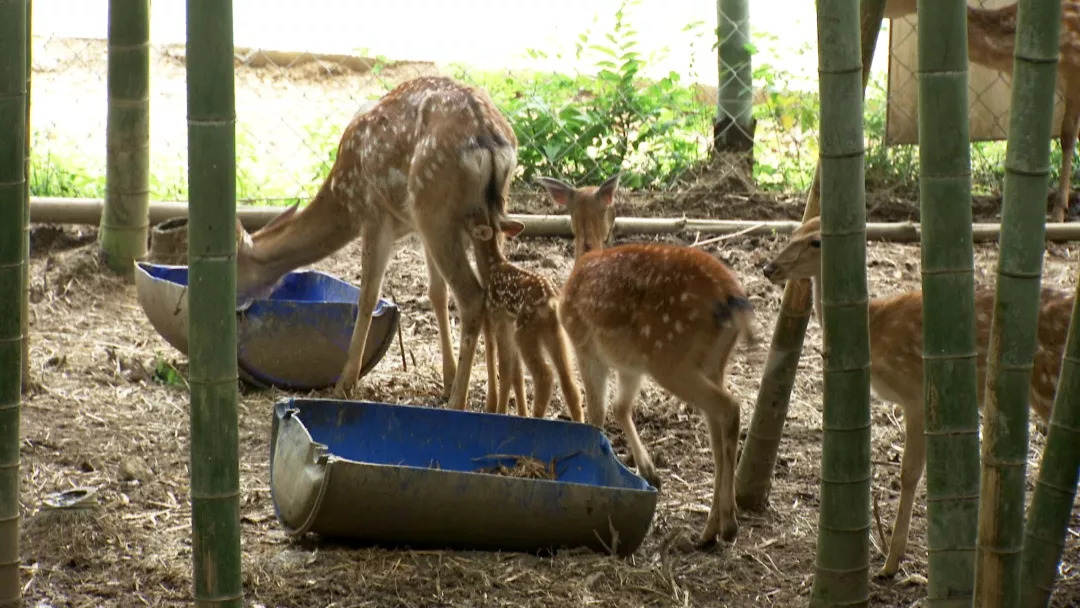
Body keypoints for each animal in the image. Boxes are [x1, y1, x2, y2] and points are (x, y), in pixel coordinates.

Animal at [233, 77, 518, 408]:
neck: (343, 200)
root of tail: (488, 137)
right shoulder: (415, 226)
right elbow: (436, 292)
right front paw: (446, 379)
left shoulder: (373, 215)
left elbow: (367, 297)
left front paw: (344, 383)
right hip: (482, 214)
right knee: (491, 289)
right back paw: (492, 401)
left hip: (435, 207)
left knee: (472, 296)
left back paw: (458, 403)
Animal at [464, 214, 583, 423]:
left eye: (473, 219)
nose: (462, 219)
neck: (492, 269)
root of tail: (552, 303)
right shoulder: (509, 325)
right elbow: (516, 374)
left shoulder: (501, 319)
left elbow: (505, 370)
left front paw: (501, 412)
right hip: (555, 334)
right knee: (569, 381)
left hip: (525, 331)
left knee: (545, 375)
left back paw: (536, 418)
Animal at [561, 242, 756, 546]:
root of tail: (732, 300)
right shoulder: (630, 366)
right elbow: (620, 407)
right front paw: (650, 473)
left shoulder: (586, 349)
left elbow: (597, 413)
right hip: (712, 362)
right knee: (717, 429)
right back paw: (711, 530)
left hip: (667, 356)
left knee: (730, 407)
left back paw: (727, 525)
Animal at [764, 215, 1067, 578]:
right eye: (793, 231)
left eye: (816, 242)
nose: (769, 268)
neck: (874, 326)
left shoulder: (914, 395)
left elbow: (908, 474)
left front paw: (890, 563)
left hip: (1049, 387)